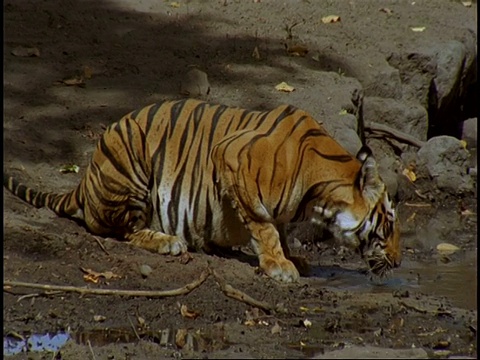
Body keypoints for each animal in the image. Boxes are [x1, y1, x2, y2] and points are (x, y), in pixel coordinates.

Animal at [3, 97, 402, 282]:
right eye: (389, 222)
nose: (399, 262)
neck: (318, 197)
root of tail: (84, 180)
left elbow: (280, 227)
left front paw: (294, 257)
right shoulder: (232, 159)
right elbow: (265, 227)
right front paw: (279, 265)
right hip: (132, 163)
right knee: (120, 230)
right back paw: (168, 241)